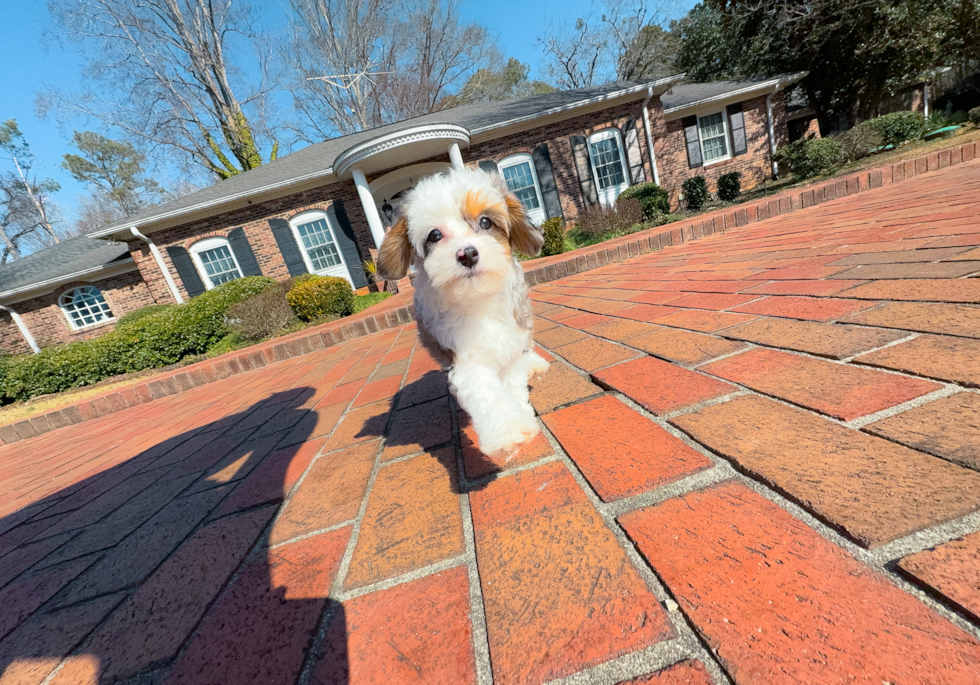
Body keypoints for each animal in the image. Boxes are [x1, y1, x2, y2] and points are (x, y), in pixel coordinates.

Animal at [378, 164, 552, 460]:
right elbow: (484, 390)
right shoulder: (464, 355)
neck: (478, 299)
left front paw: (518, 412)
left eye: (486, 222)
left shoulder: (512, 340)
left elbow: (513, 380)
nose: (467, 254)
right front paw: (508, 431)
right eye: (435, 235)